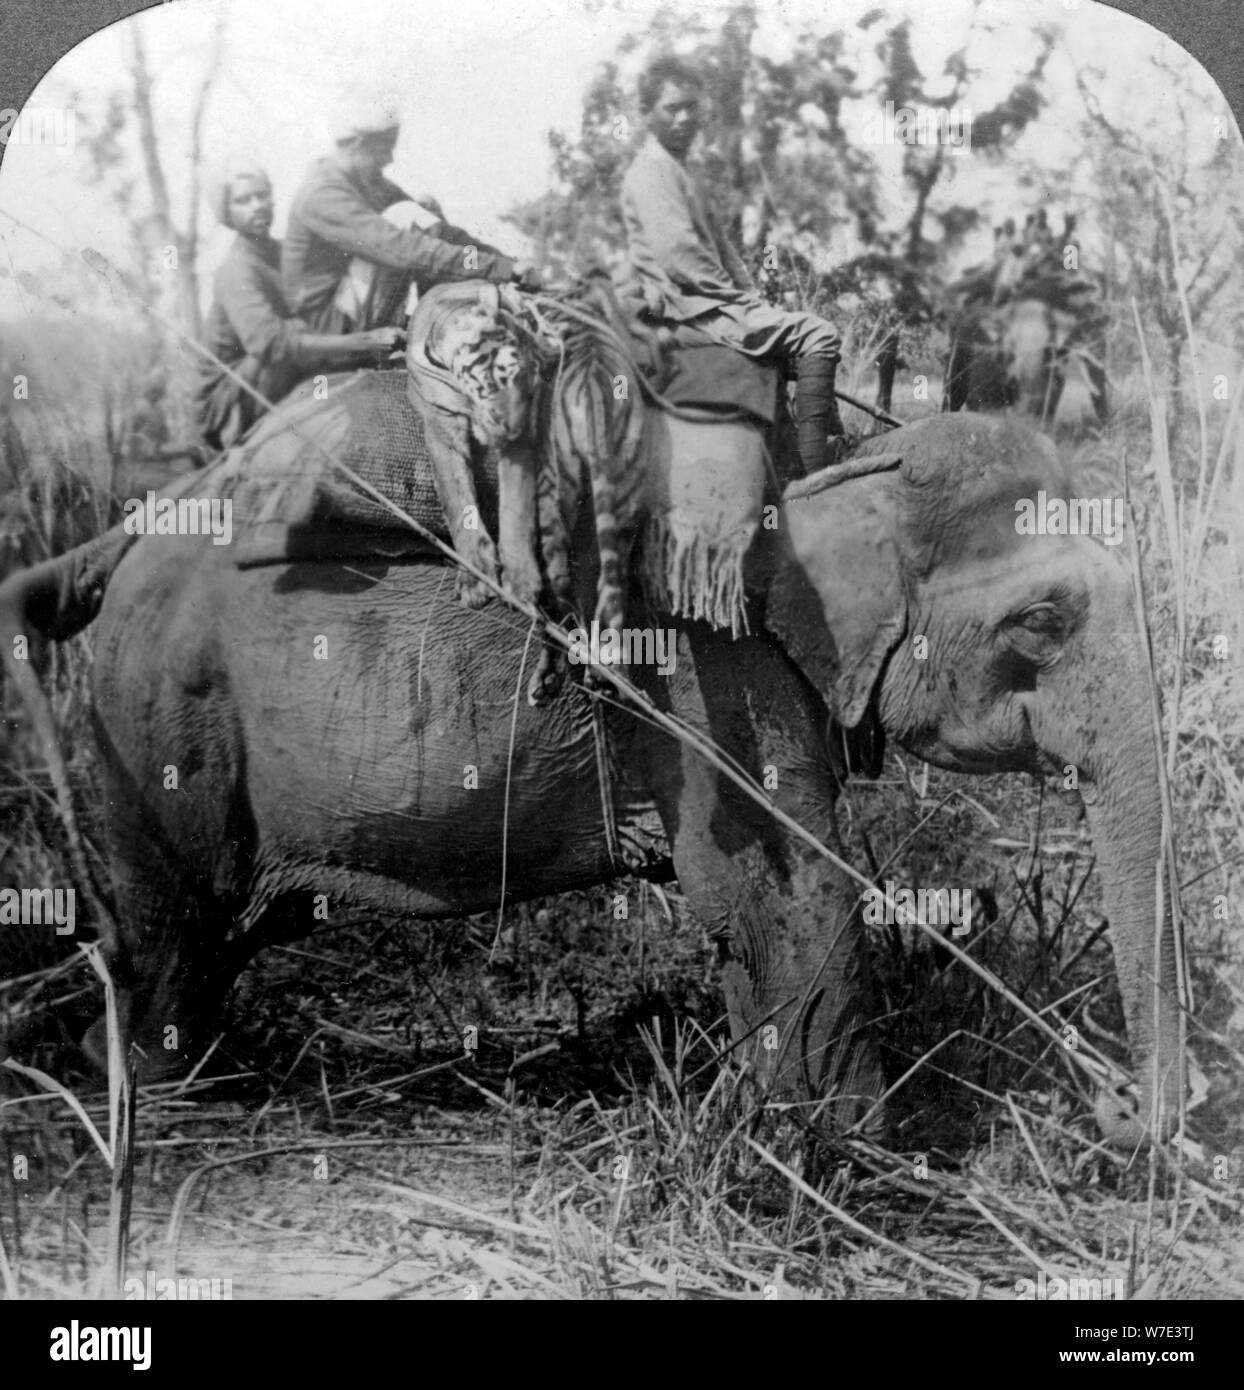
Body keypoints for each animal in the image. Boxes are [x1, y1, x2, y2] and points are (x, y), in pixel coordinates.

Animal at [0, 400, 1184, 1139]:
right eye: (1044, 620)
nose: (1122, 1110)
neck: (842, 470)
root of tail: (127, 534)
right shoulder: (715, 672)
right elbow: (780, 894)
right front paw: (862, 1152)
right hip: (160, 724)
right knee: (176, 924)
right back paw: (163, 1095)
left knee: (216, 932)